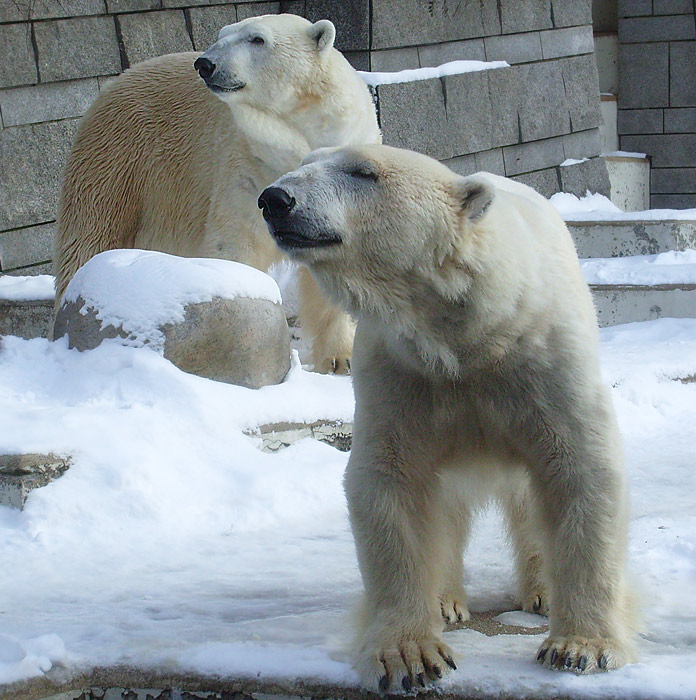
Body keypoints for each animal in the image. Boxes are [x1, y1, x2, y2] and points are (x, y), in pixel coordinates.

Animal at [53, 12, 380, 372]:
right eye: (222, 33)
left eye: (257, 38)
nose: (205, 64)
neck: (299, 136)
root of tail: (114, 83)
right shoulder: (247, 167)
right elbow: (237, 245)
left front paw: (341, 360)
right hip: (120, 159)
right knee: (90, 234)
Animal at [260, 145, 636, 692]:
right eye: (306, 161)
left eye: (363, 172)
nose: (275, 199)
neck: (467, 331)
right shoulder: (401, 373)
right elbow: (391, 482)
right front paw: (410, 656)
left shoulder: (542, 361)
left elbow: (580, 469)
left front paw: (580, 647)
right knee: (446, 505)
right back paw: (445, 600)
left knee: (528, 500)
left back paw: (542, 594)